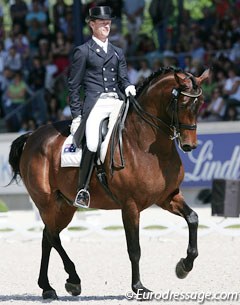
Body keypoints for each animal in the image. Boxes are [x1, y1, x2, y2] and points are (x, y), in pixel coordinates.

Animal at [8, 67, 209, 300]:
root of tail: (33, 135)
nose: (189, 145)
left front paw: (183, 266)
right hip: (46, 202)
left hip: (65, 205)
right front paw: (139, 287)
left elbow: (193, 218)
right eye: (183, 103)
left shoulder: (168, 197)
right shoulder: (130, 206)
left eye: (201, 102)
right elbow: (134, 248)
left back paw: (48, 287)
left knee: (47, 237)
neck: (146, 144)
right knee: (52, 236)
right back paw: (73, 280)